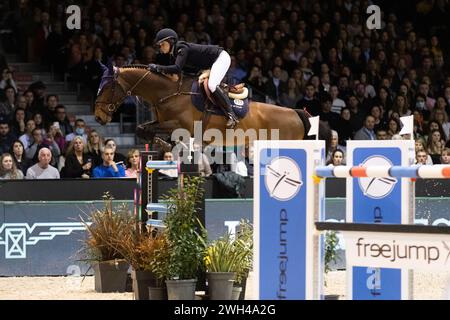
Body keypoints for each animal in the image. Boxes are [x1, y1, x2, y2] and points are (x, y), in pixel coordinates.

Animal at [94, 63, 330, 148]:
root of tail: (296, 113)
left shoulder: (183, 126)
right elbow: (142, 128)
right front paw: (161, 143)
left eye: (106, 88)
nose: (98, 117)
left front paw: (163, 143)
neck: (169, 93)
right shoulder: (161, 121)